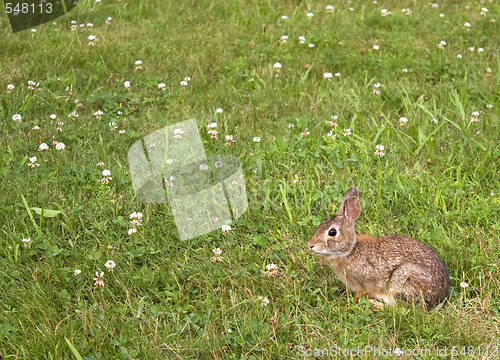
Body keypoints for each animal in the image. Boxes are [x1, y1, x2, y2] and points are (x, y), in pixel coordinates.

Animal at [306, 187, 452, 310]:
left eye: (332, 232)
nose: (310, 245)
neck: (350, 250)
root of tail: (439, 300)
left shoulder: (362, 283)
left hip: (402, 280)